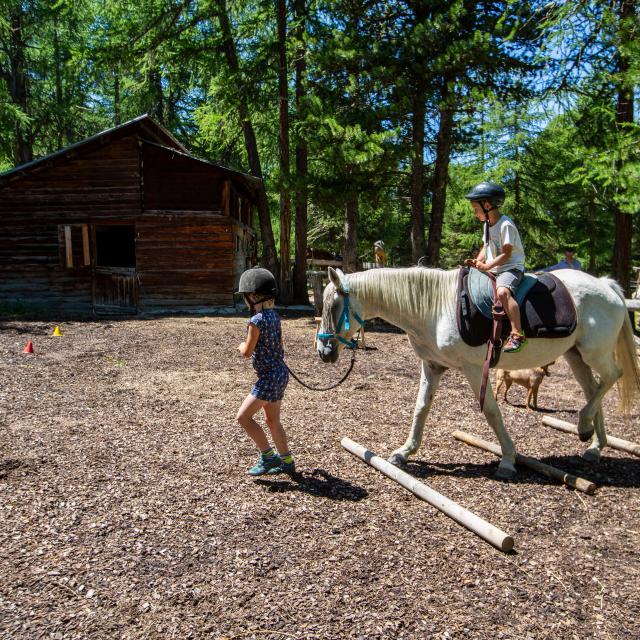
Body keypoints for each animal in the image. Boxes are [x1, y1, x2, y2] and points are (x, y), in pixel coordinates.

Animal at [316, 266, 640, 480]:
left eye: (334, 305)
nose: (323, 351)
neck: (435, 308)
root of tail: (606, 286)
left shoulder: (473, 369)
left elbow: (491, 412)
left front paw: (507, 460)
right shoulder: (432, 366)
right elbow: (421, 408)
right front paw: (404, 452)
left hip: (594, 353)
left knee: (613, 376)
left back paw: (585, 426)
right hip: (575, 356)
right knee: (592, 389)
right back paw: (594, 444)